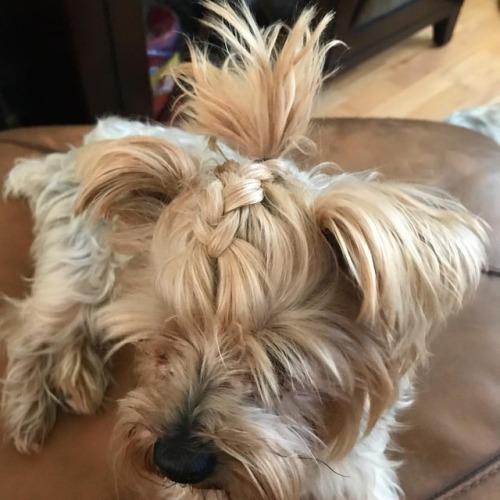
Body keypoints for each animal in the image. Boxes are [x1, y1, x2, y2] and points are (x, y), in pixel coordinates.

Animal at [0, 1, 484, 498]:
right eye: (159, 341)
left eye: (281, 362)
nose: (176, 461)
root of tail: (72, 149)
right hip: (80, 262)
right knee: (30, 325)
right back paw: (27, 408)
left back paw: (78, 376)